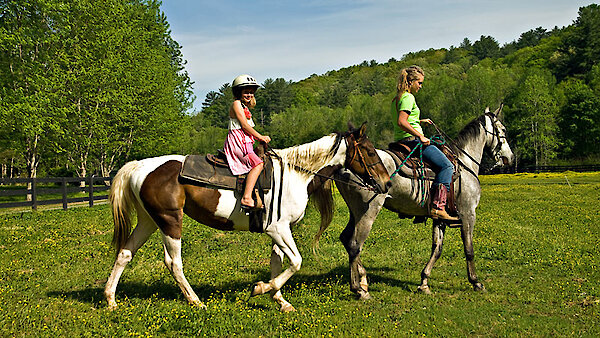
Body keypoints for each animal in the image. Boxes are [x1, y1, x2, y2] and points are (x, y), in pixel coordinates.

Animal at [105, 123, 392, 312]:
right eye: (369, 151)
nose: (387, 183)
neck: (296, 174)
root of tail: (140, 166)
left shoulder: (279, 231)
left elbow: (278, 262)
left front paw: (279, 300)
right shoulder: (278, 229)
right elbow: (296, 262)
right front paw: (262, 288)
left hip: (149, 221)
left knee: (125, 253)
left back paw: (110, 299)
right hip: (169, 221)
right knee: (173, 262)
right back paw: (195, 301)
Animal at [330, 105, 512, 298]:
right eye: (503, 130)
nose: (509, 158)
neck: (464, 164)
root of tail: (343, 166)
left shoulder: (440, 218)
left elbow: (437, 249)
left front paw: (424, 282)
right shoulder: (468, 214)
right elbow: (468, 250)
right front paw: (476, 282)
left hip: (355, 212)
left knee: (346, 240)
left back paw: (363, 279)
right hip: (368, 212)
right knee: (355, 245)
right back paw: (359, 288)